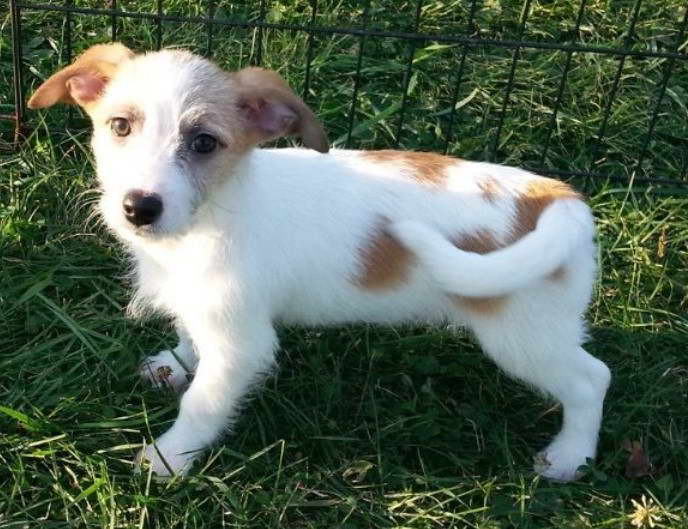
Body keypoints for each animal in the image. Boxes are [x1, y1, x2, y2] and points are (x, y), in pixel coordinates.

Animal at [29, 43, 612, 480]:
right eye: (120, 126)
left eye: (204, 143)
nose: (139, 208)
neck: (211, 217)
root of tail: (558, 197)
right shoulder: (204, 309)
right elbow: (190, 338)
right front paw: (175, 363)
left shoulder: (242, 345)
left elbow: (204, 403)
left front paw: (169, 459)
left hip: (523, 334)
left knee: (593, 378)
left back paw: (569, 456)